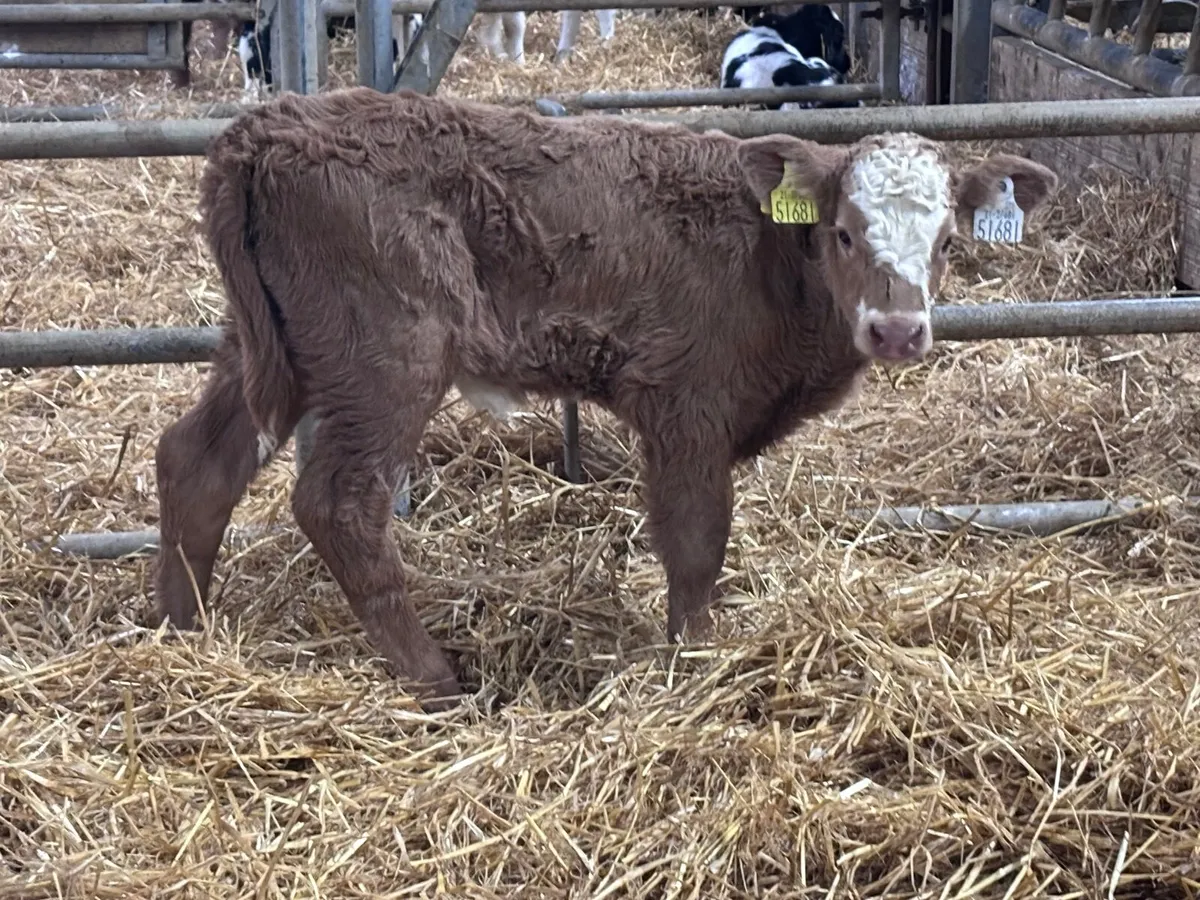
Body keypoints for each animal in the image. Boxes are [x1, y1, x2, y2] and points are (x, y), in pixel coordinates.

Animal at [153, 87, 1058, 709]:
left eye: (947, 243)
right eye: (842, 233)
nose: (897, 329)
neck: (771, 260)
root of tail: (265, 129)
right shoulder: (686, 405)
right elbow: (696, 542)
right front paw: (696, 664)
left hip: (269, 348)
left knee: (196, 461)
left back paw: (181, 634)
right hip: (387, 357)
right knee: (340, 503)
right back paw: (437, 678)